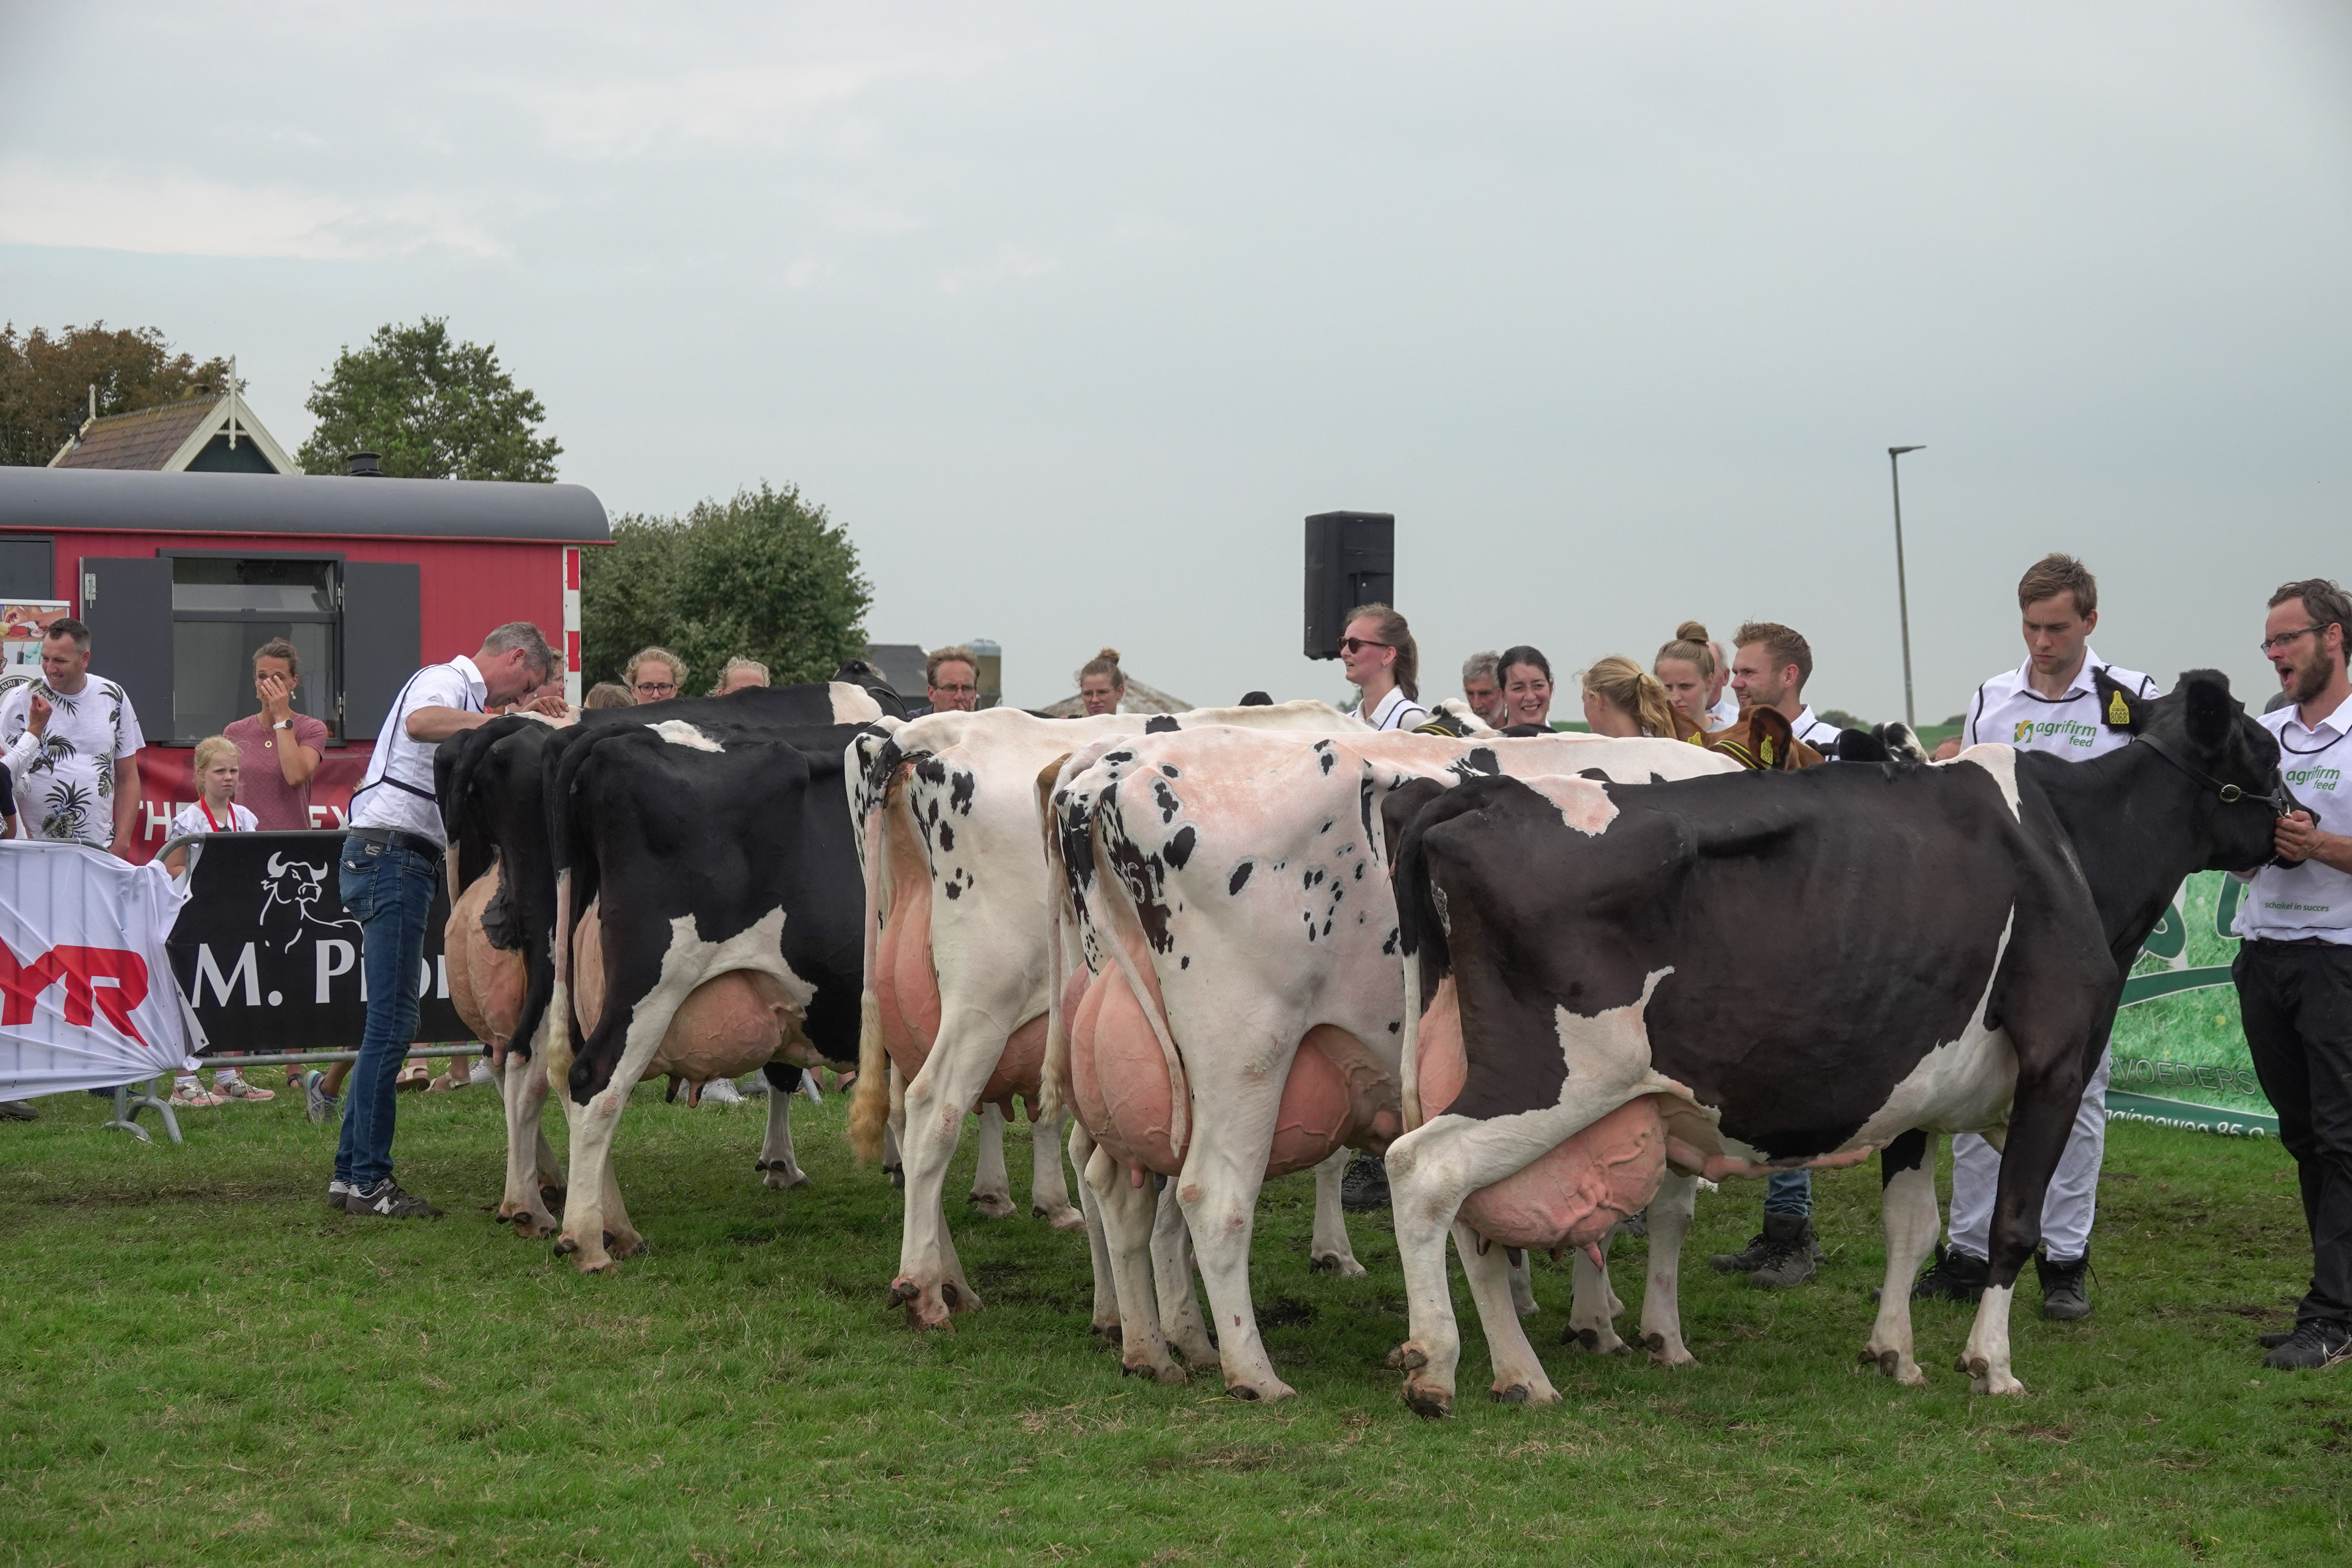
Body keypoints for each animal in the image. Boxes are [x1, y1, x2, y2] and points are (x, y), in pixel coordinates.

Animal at [846, 701, 1366, 1334]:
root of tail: (923, 734)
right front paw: (1333, 1252)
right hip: (982, 998)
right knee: (933, 1110)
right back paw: (926, 1289)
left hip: (910, 1010)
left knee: (904, 1113)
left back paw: (953, 1280)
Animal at [1042, 728, 1744, 1399]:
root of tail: (1117, 770)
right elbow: (1664, 1210)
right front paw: (1648, 1334)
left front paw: (1586, 1317)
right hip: (1245, 1058)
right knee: (1211, 1199)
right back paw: (1253, 1374)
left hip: (1146, 1073)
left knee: (1123, 1188)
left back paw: (1160, 1347)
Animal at [1378, 670, 2293, 1415]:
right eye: (2264, 747)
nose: (2297, 821)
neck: (2068, 845)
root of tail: (1473, 798)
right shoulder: (2057, 1063)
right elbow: (2013, 1223)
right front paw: (1991, 1364)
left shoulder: (1917, 1088)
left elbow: (1910, 1226)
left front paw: (1894, 1351)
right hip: (1556, 1075)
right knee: (1426, 1170)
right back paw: (1436, 1366)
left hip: (1460, 1061)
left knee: (1475, 1217)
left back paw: (1520, 1373)